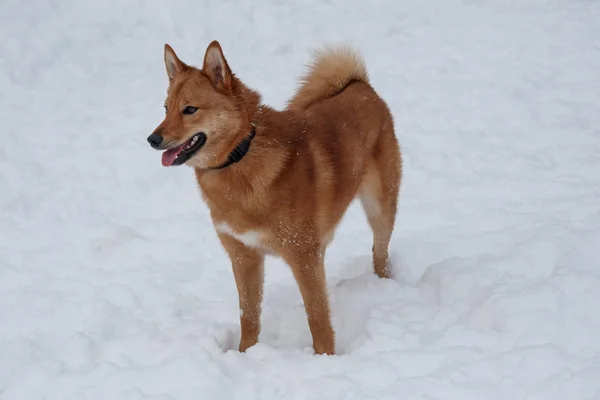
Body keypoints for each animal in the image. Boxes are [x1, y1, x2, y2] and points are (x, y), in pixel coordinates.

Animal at [148, 39, 404, 354]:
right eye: (165, 108)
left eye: (190, 109)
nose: (152, 139)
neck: (240, 156)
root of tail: (361, 86)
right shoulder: (243, 257)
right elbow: (249, 315)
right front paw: (245, 354)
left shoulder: (304, 257)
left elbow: (317, 317)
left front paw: (325, 357)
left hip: (381, 208)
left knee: (380, 253)